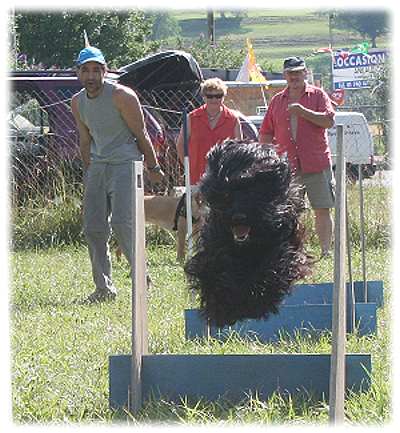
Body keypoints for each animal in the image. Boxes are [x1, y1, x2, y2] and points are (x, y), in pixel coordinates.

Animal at [184, 140, 312, 326]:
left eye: (254, 191)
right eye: (227, 192)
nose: (238, 217)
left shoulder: (286, 242)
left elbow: (275, 266)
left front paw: (256, 300)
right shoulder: (214, 244)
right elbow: (215, 269)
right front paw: (224, 307)